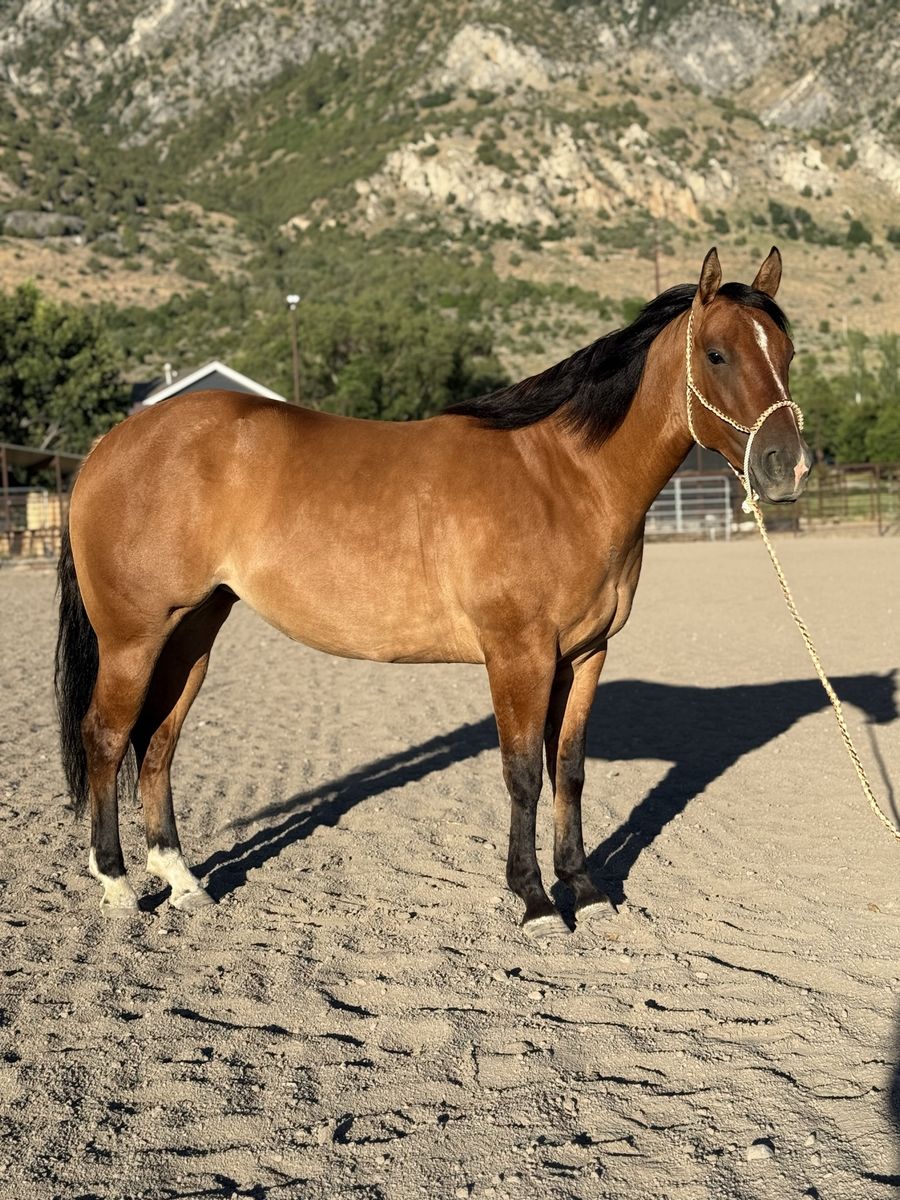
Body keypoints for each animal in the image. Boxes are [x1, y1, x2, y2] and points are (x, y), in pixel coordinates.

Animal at [55, 246, 812, 937]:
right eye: (716, 354)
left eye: (786, 352)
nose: (789, 466)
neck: (563, 477)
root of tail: (109, 446)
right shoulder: (518, 655)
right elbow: (523, 773)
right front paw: (536, 902)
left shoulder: (586, 655)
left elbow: (567, 770)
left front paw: (586, 890)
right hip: (134, 637)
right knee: (107, 736)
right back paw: (118, 887)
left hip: (192, 632)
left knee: (158, 741)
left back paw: (183, 883)